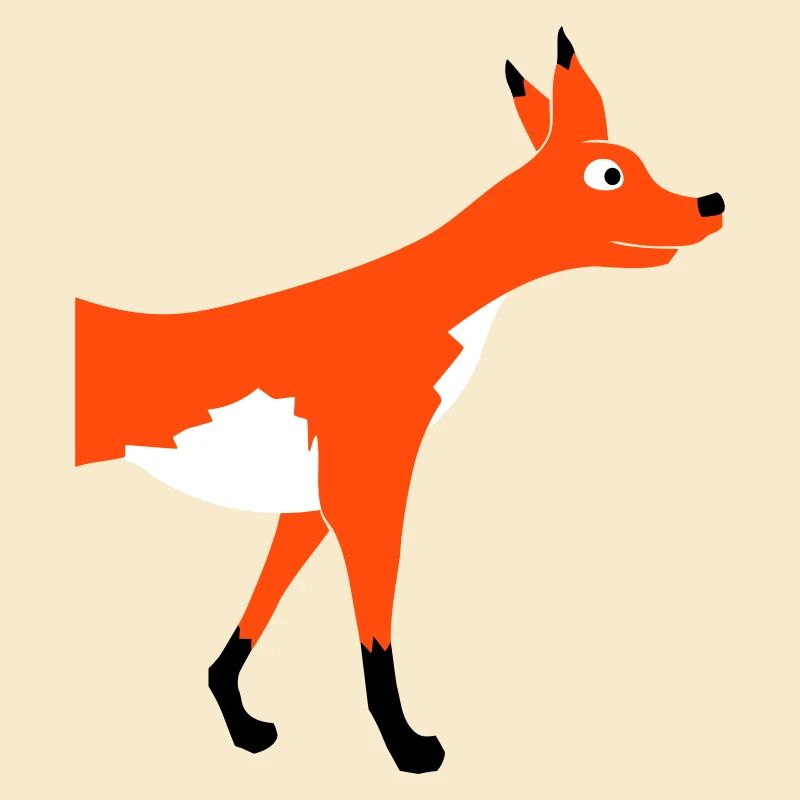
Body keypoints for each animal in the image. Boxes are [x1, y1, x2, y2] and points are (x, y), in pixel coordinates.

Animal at [74, 29, 725, 773]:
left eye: (642, 165)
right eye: (610, 175)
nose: (710, 202)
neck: (415, 308)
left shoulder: (310, 504)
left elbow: (249, 624)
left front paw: (239, 719)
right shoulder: (367, 494)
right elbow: (375, 639)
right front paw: (405, 746)